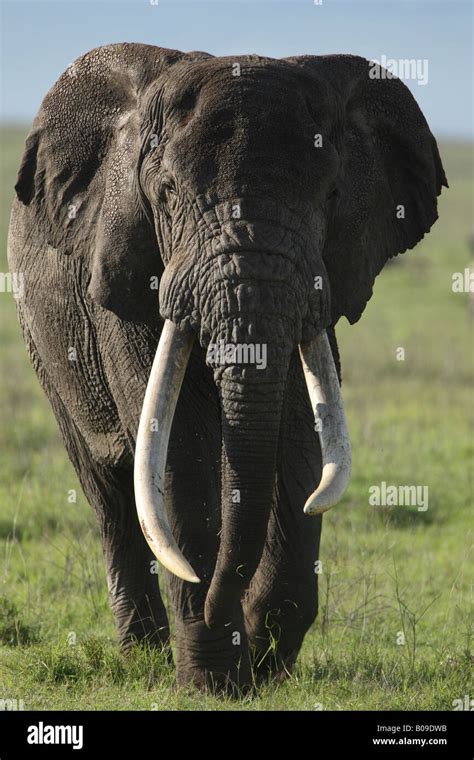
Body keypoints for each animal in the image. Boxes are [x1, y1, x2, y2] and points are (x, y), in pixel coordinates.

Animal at [6, 43, 444, 696]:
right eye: (165, 193)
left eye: (332, 196)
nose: (221, 607)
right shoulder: (132, 278)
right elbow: (179, 455)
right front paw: (212, 682)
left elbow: (302, 444)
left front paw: (264, 668)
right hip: (44, 342)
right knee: (110, 494)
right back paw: (142, 658)